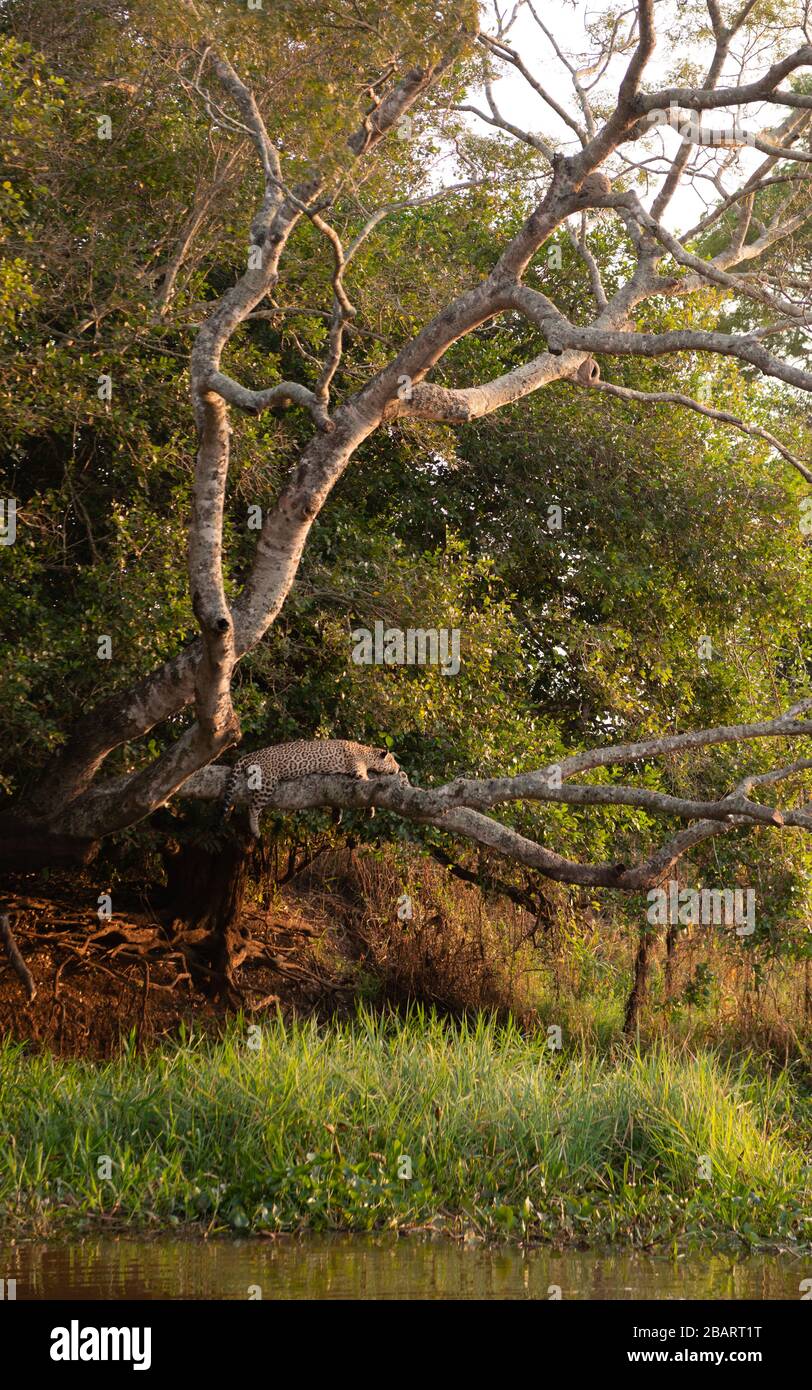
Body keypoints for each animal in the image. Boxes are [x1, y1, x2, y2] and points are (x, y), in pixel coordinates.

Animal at [219, 739, 405, 837]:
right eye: (393, 760)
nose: (399, 768)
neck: (365, 752)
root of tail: (251, 754)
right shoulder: (358, 771)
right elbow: (367, 784)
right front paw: (371, 811)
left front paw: (337, 816)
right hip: (267, 782)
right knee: (253, 808)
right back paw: (255, 830)